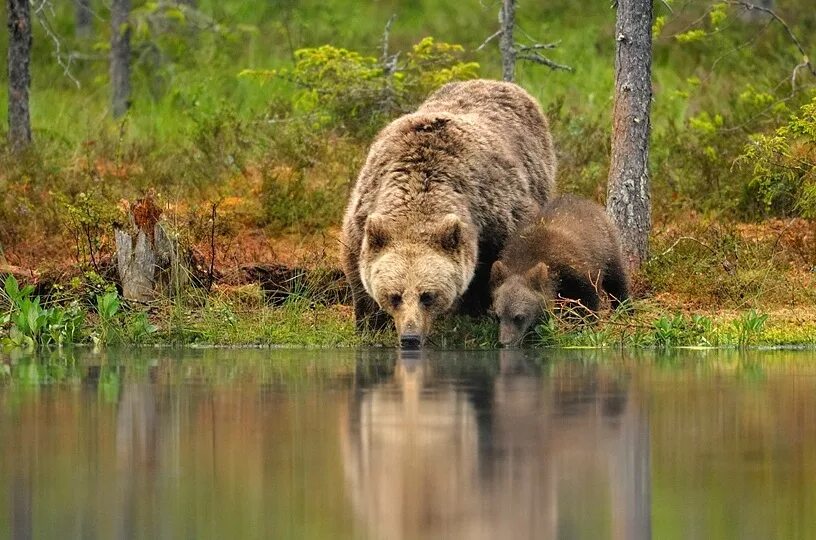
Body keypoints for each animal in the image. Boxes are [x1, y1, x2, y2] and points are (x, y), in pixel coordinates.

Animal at [342, 80, 556, 350]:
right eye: (395, 296)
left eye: (427, 296)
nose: (410, 338)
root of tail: (496, 82)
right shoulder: (364, 211)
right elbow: (357, 270)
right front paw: (370, 324)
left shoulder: (494, 215)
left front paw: (473, 316)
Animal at [490, 194, 632, 346]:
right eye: (498, 316)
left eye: (519, 317)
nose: (504, 342)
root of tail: (587, 201)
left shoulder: (578, 269)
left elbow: (588, 299)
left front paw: (585, 325)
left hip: (608, 248)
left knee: (616, 280)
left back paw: (625, 308)